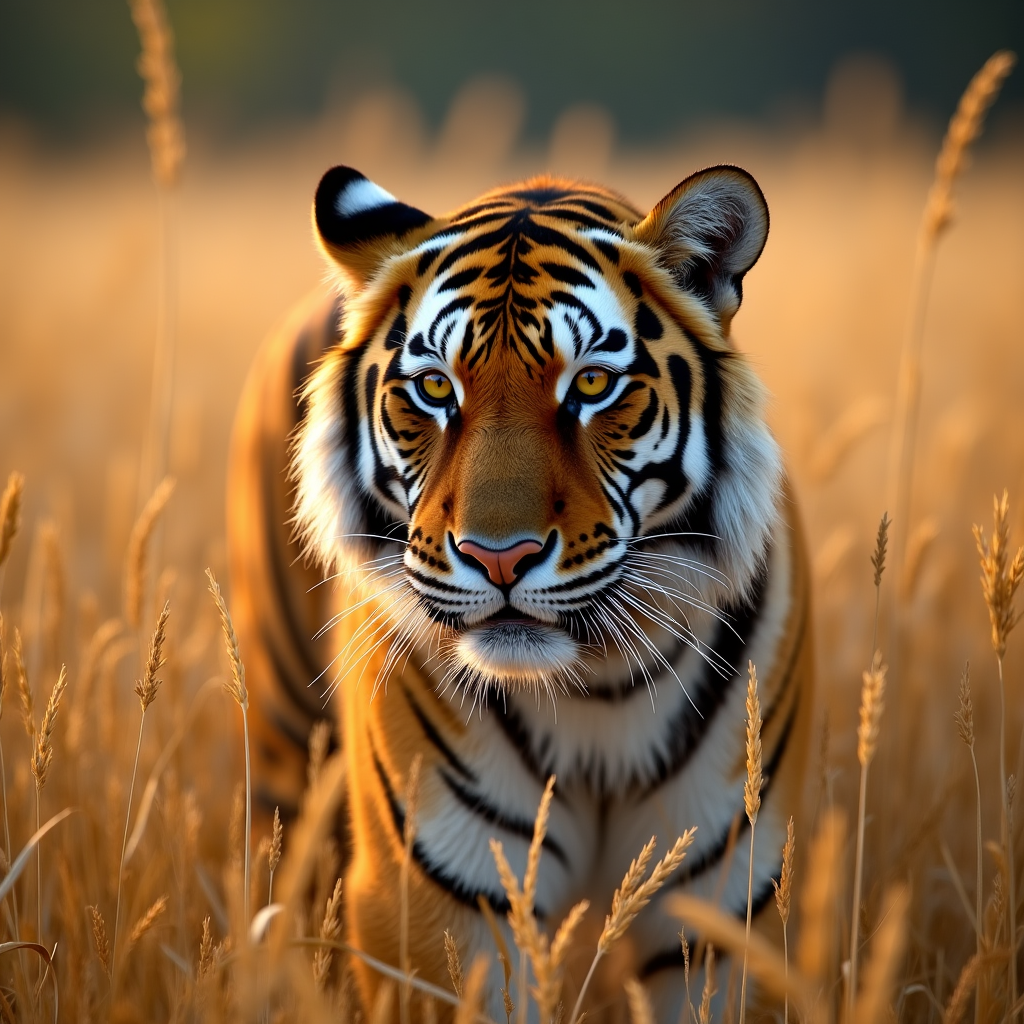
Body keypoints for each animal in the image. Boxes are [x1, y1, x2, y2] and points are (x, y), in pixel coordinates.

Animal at [226, 162, 814, 1021]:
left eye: (592, 384)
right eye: (436, 389)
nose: (497, 557)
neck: (597, 689)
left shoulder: (724, 909)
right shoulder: (443, 901)